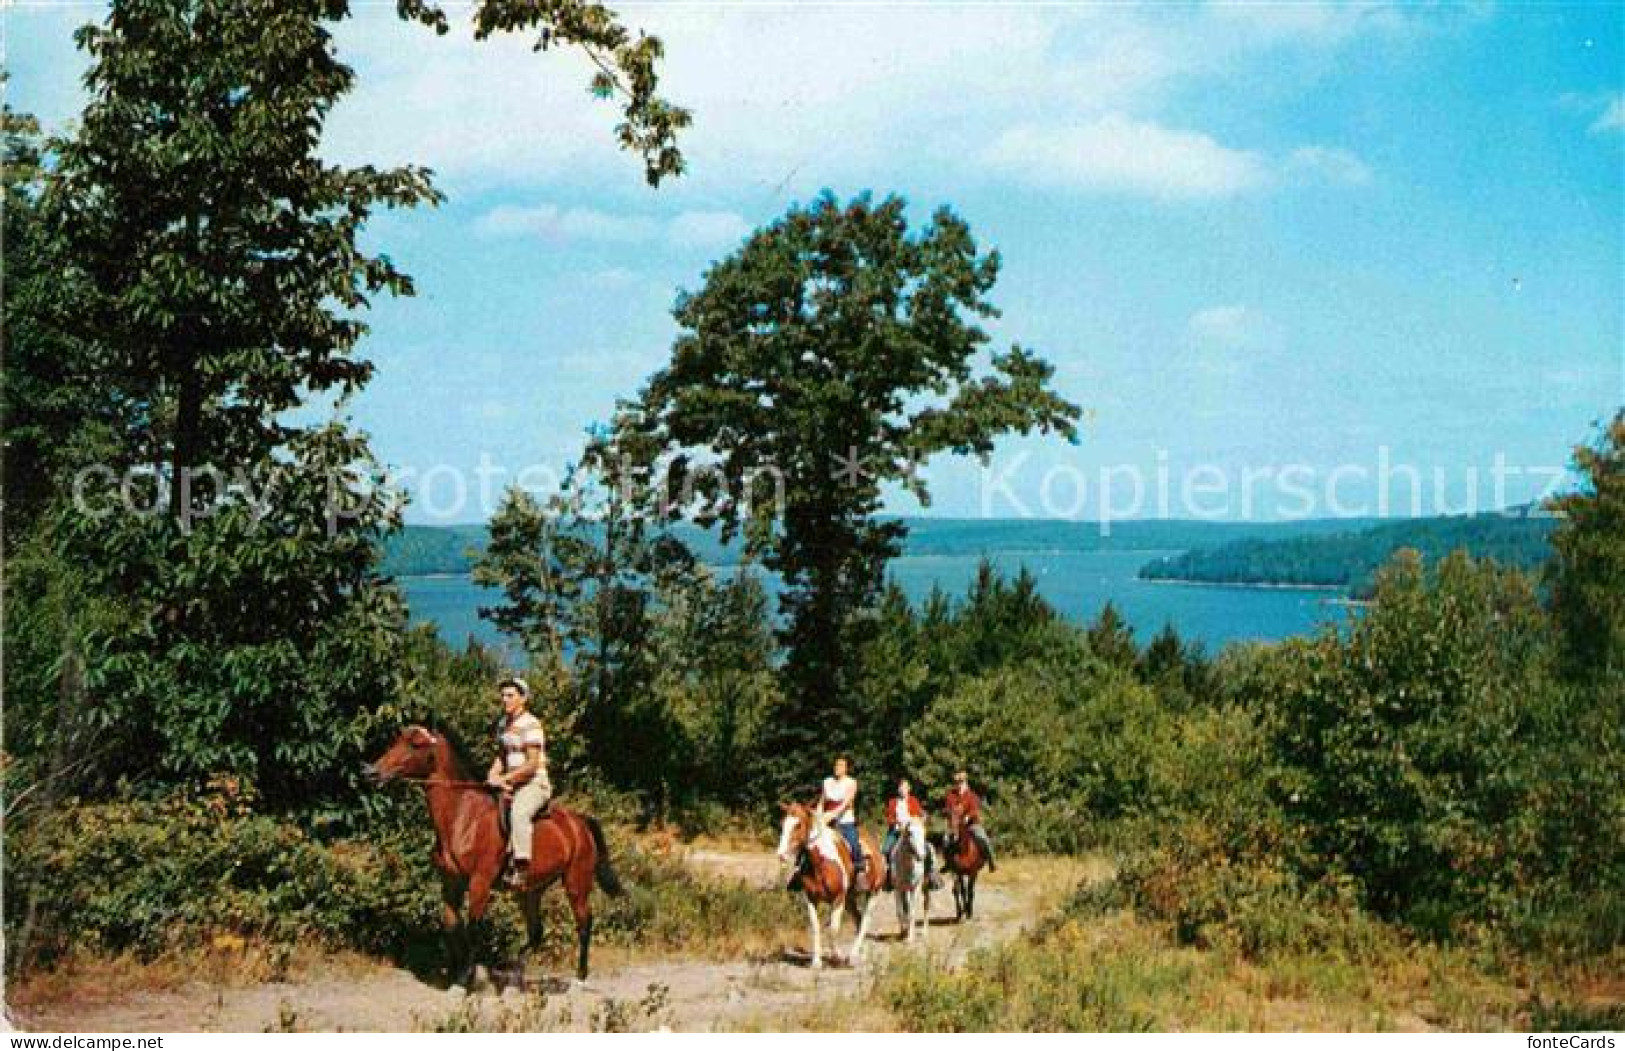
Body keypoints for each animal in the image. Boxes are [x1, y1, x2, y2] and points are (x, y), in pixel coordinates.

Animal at [367, 727, 620, 981]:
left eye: (415, 744)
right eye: (396, 742)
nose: (372, 771)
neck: (463, 816)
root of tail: (580, 822)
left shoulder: (480, 881)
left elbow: (473, 927)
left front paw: (466, 976)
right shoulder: (452, 880)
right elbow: (450, 923)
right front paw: (455, 970)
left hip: (576, 882)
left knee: (584, 922)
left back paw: (580, 973)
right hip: (531, 890)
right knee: (536, 932)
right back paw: (512, 969)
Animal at [776, 805, 890, 968]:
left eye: (798, 825)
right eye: (782, 824)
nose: (781, 855)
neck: (820, 862)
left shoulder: (838, 898)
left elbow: (833, 929)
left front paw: (837, 957)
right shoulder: (811, 898)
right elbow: (816, 927)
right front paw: (816, 962)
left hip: (873, 893)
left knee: (865, 921)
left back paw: (852, 955)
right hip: (850, 899)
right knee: (859, 919)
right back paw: (860, 953)